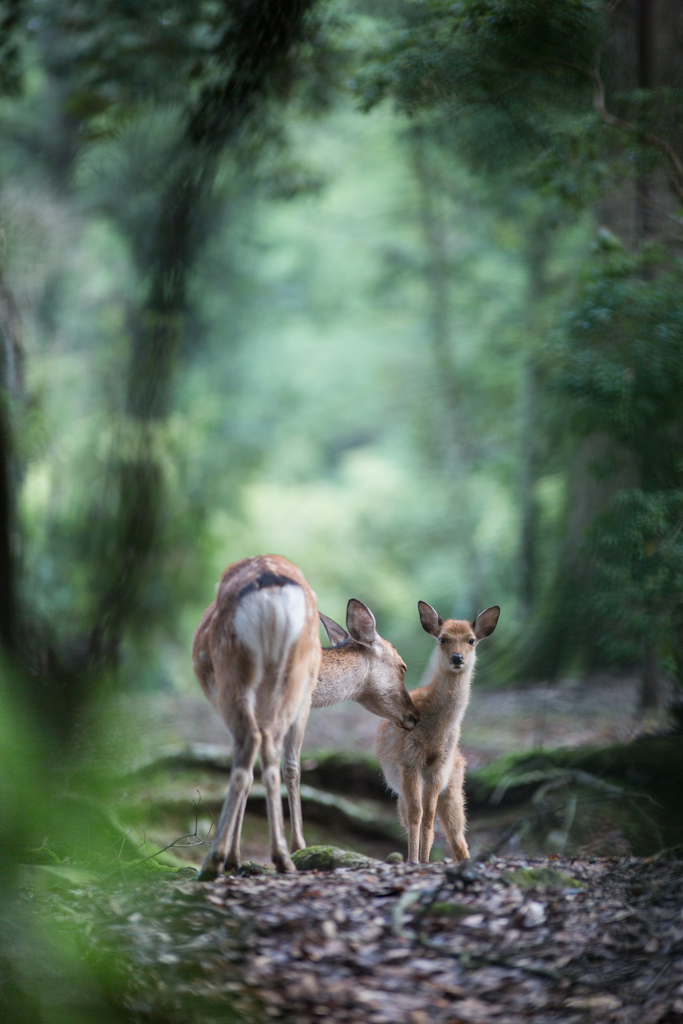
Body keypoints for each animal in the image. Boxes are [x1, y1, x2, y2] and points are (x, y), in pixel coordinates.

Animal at [192, 557, 417, 876]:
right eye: (403, 666)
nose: (415, 715)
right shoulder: (305, 701)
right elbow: (292, 767)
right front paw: (299, 846)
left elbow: (258, 767)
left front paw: (239, 856)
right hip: (282, 683)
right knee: (271, 753)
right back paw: (270, 855)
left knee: (254, 748)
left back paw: (225, 858)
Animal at [376, 598, 499, 864]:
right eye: (442, 639)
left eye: (471, 640)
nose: (457, 657)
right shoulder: (409, 760)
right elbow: (417, 814)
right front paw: (414, 860)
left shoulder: (438, 767)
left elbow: (428, 815)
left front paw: (422, 860)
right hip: (404, 792)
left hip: (453, 790)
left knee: (457, 836)